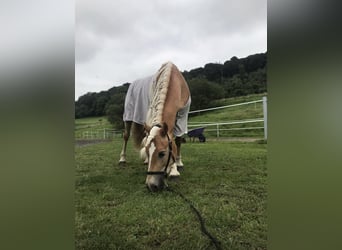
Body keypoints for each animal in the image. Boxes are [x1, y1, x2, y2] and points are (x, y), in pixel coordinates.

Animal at [119, 62, 191, 191]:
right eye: (148, 152)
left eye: (162, 153)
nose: (151, 185)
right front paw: (173, 170)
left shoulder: (183, 115)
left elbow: (177, 141)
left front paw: (177, 165)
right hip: (128, 116)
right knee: (126, 136)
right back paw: (122, 159)